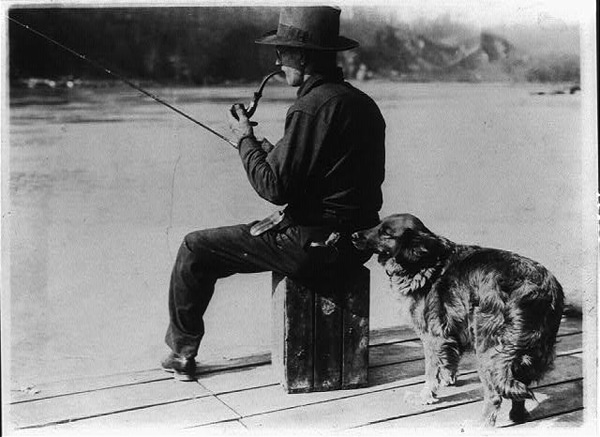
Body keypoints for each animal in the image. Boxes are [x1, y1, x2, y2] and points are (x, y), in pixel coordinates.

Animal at [352, 215, 564, 426]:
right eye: (377, 225)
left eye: (385, 233)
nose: (354, 235)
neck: (428, 261)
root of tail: (541, 291)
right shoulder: (452, 330)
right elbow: (449, 360)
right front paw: (447, 378)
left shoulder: (432, 337)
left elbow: (431, 371)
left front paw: (424, 396)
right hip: (525, 353)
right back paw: (517, 416)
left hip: (487, 348)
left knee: (495, 395)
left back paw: (480, 425)